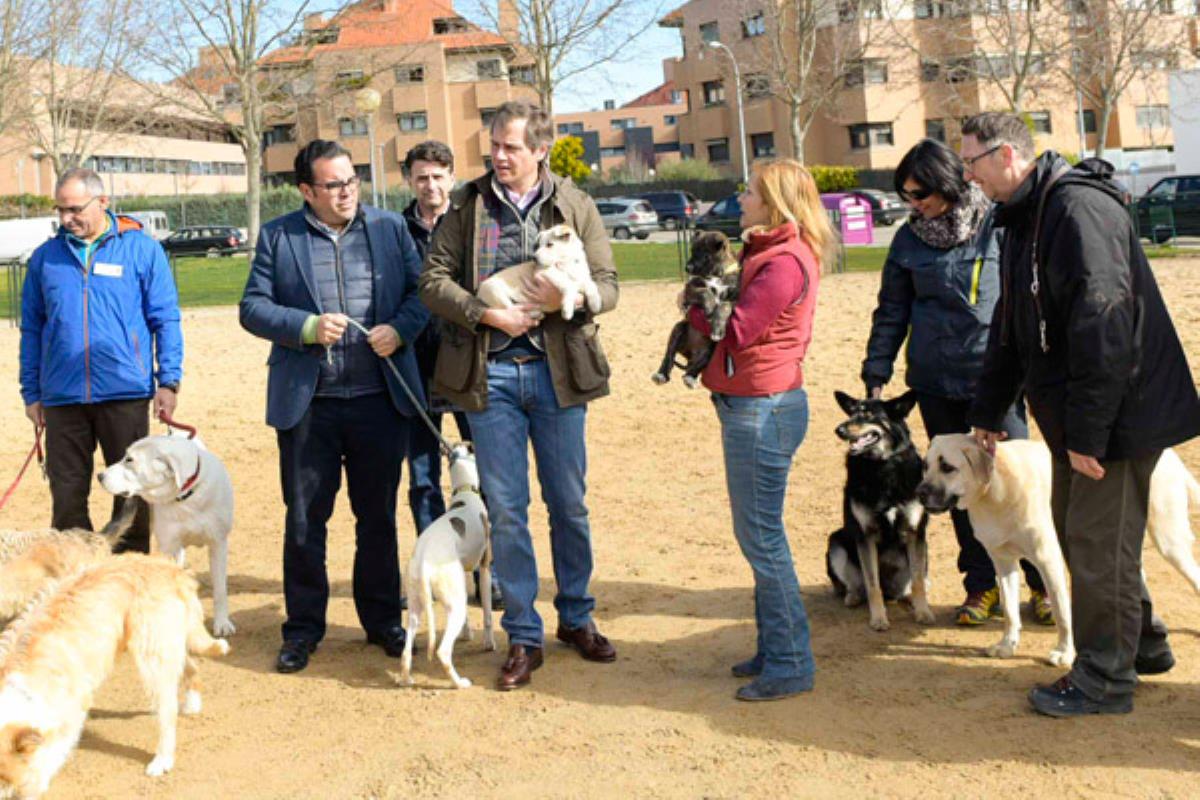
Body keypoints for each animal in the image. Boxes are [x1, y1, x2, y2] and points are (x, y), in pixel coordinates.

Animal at [916, 434, 1200, 666]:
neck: (997, 490)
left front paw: (1065, 652)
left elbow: (1063, 613)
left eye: (947, 467)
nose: (919, 492)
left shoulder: (1047, 560)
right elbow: (1009, 610)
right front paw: (1007, 646)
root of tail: (1169, 453)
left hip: (1168, 540)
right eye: (925, 466)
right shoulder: (1003, 562)